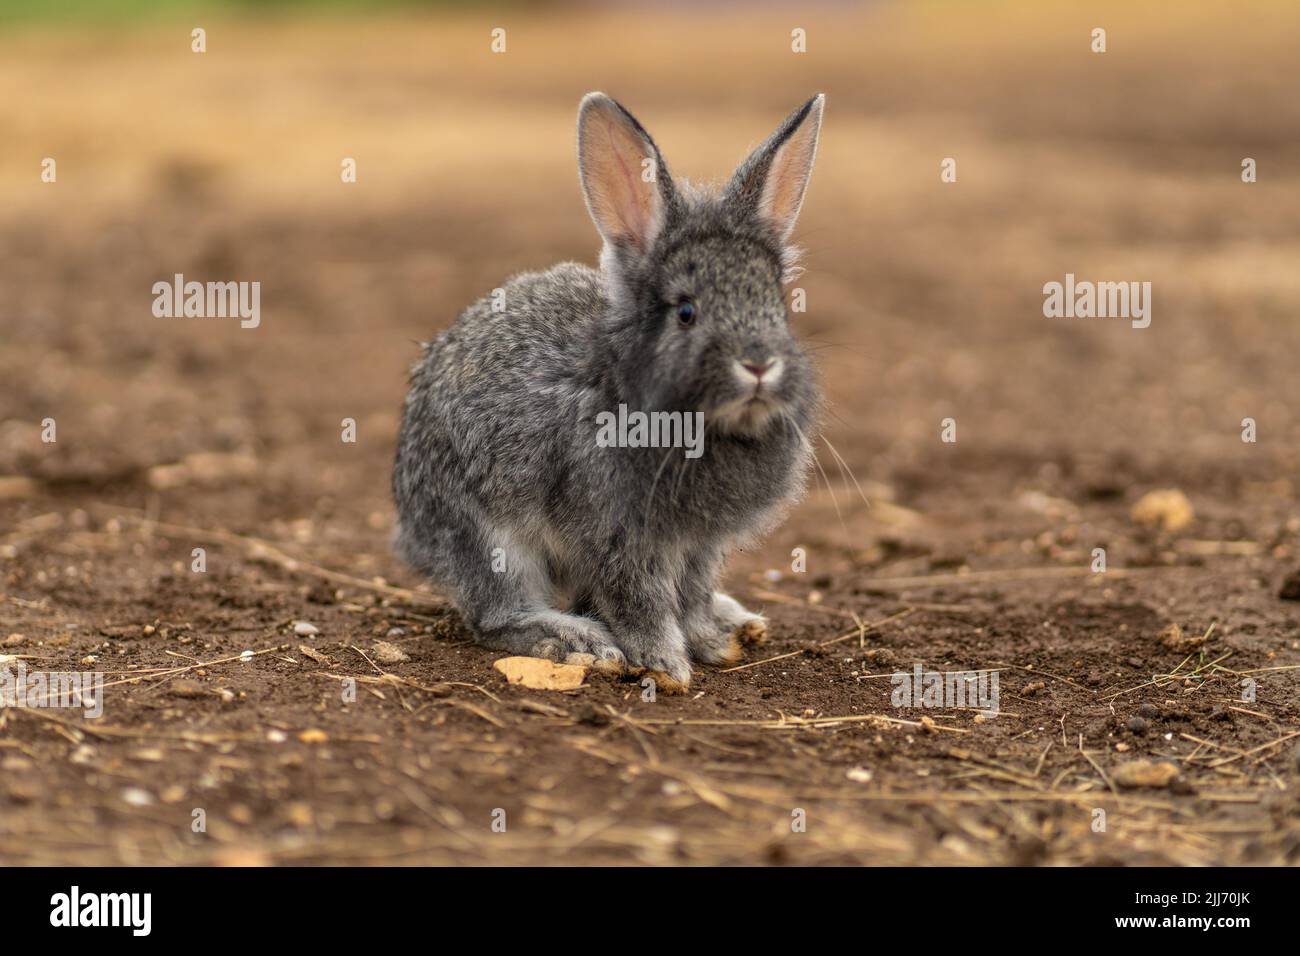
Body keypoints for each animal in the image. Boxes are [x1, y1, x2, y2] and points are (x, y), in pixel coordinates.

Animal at [390, 91, 826, 686]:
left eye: (778, 305)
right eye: (686, 312)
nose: (759, 364)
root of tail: (412, 531)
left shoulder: (700, 545)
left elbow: (691, 594)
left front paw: (710, 641)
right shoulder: (617, 535)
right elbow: (638, 599)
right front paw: (666, 664)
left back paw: (735, 621)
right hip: (489, 539)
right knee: (496, 614)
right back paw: (576, 641)